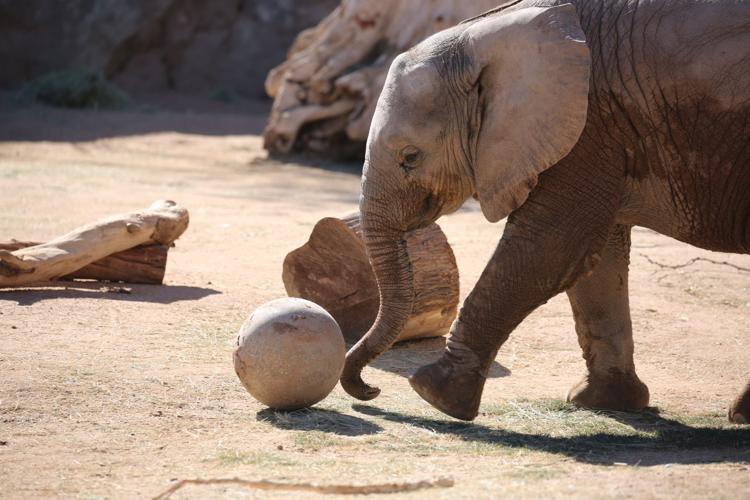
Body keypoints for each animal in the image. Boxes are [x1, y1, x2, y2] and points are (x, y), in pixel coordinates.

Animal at [340, 0, 750, 422]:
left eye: (410, 157)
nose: (371, 390)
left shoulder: (588, 123)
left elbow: (549, 246)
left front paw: (432, 392)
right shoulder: (600, 127)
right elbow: (596, 260)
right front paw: (600, 401)